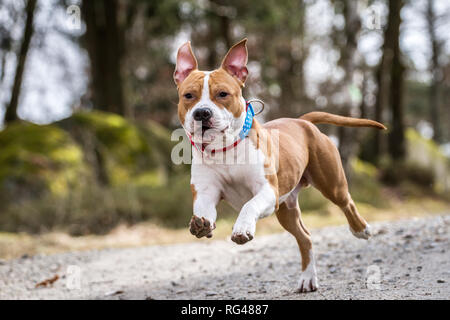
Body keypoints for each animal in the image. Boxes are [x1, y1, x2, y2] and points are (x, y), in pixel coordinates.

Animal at [174, 38, 384, 292]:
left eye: (222, 94)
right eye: (188, 96)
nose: (202, 113)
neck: (225, 149)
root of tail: (302, 122)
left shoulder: (267, 192)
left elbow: (249, 206)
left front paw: (242, 228)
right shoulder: (206, 192)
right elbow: (204, 210)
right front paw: (202, 225)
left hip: (331, 185)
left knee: (347, 203)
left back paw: (361, 229)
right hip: (286, 209)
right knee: (305, 237)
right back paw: (307, 278)